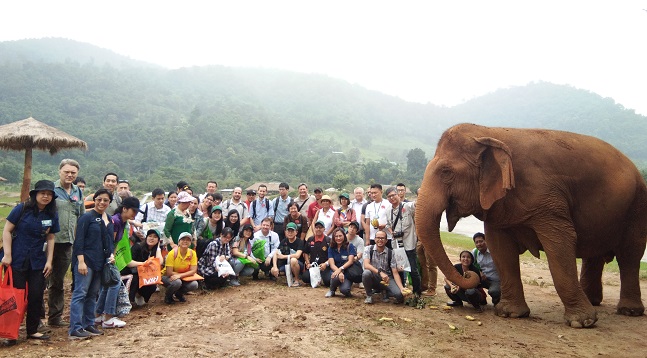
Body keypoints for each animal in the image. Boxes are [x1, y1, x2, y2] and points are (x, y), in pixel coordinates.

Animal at [416, 123, 647, 328]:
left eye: (446, 172)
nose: (468, 273)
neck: (490, 132)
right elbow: (501, 249)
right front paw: (510, 314)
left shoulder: (549, 199)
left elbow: (560, 245)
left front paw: (583, 322)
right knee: (594, 255)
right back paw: (593, 301)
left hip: (637, 205)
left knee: (630, 255)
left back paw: (629, 311)